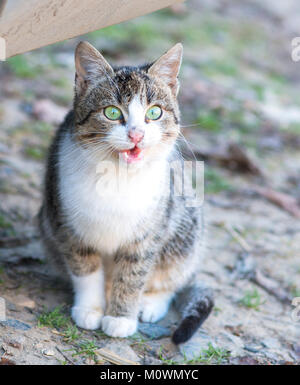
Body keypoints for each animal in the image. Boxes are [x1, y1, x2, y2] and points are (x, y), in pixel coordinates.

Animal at [38, 41, 213, 342]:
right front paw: (90, 308)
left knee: (175, 273)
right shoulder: (66, 224)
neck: (118, 176)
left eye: (154, 112)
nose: (136, 134)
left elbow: (133, 274)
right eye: (111, 112)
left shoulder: (149, 232)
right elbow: (85, 268)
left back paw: (151, 303)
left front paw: (121, 317)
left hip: (186, 223)